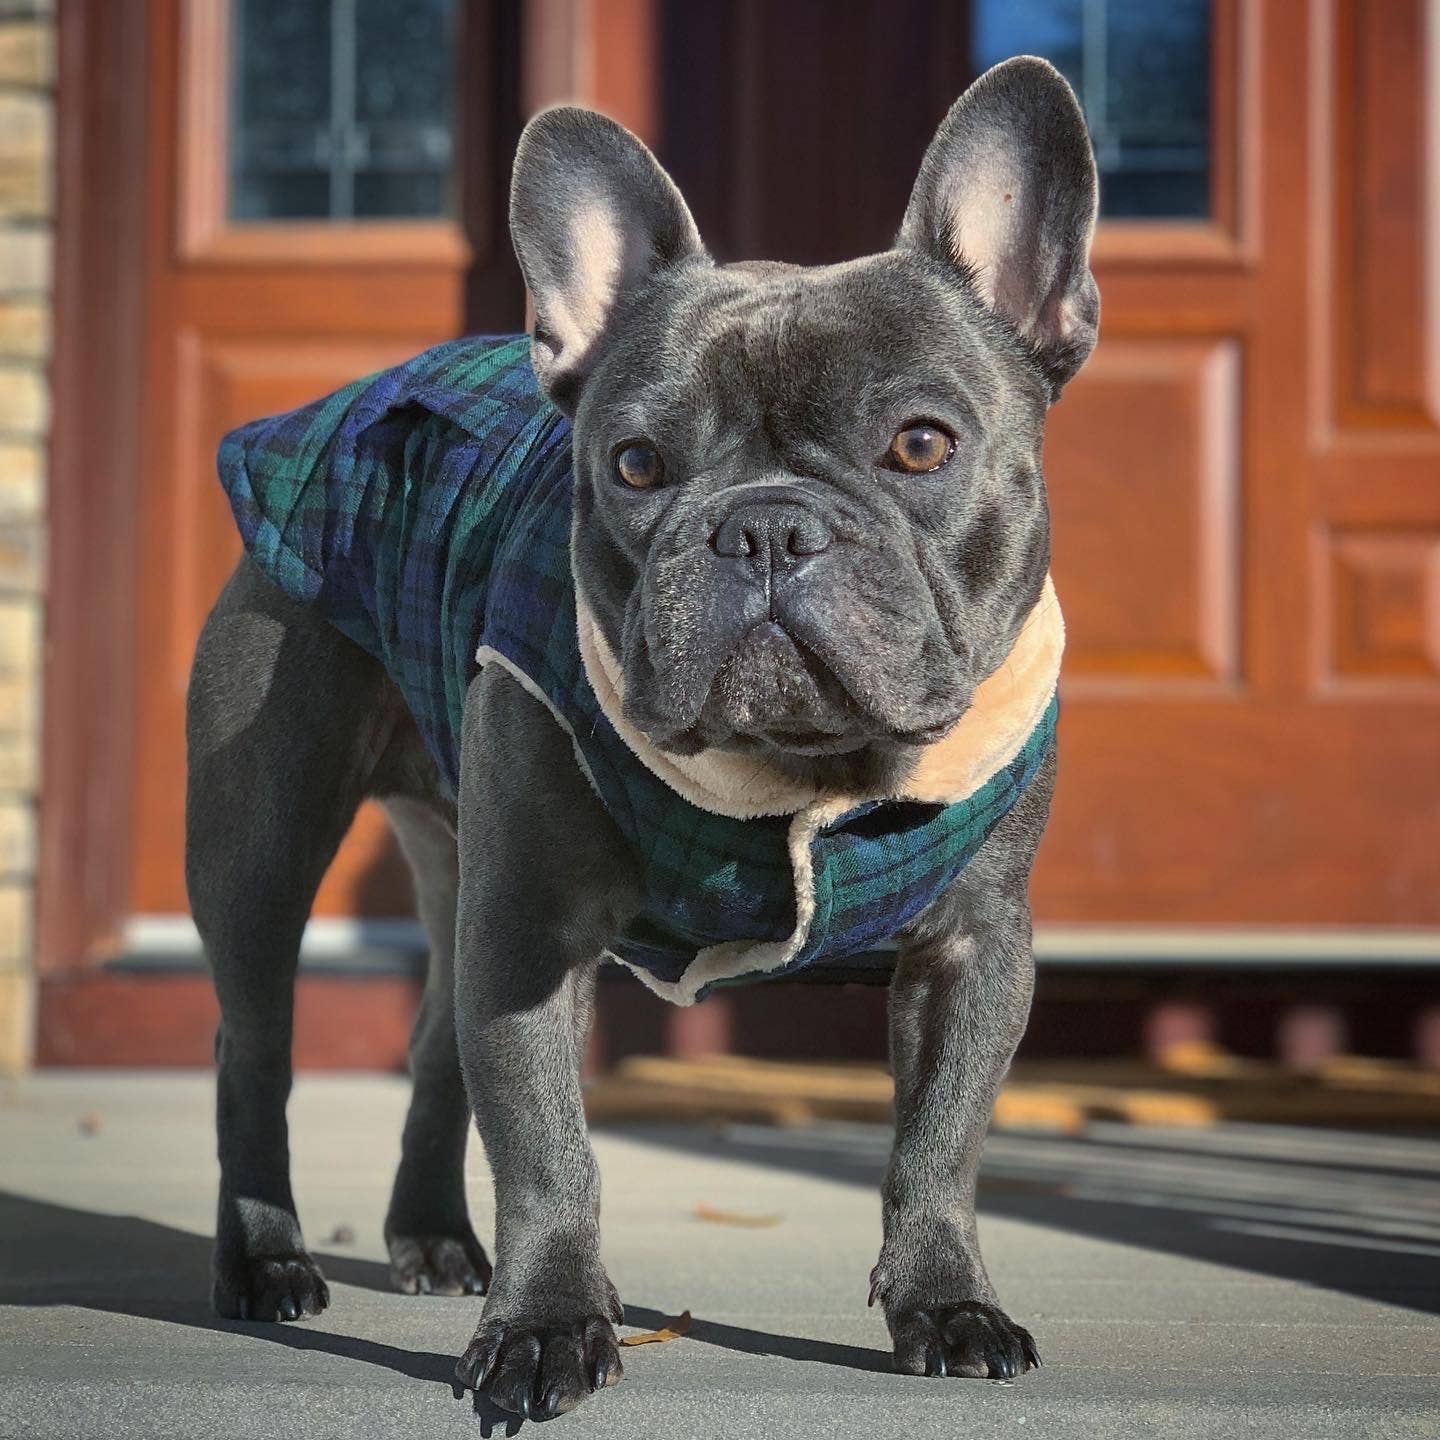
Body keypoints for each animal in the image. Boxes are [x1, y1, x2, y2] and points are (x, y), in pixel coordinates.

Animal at [185, 53, 1094, 1416]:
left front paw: (946, 1303)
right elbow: (549, 1148)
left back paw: (435, 1242)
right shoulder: (533, 934)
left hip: (459, 862)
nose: (765, 525)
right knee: (257, 1045)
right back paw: (266, 1263)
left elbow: (938, 1142)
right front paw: (547, 1328)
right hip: (262, 847)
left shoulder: (973, 948)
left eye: (922, 443)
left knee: (436, 1042)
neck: (800, 779)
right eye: (636, 465)